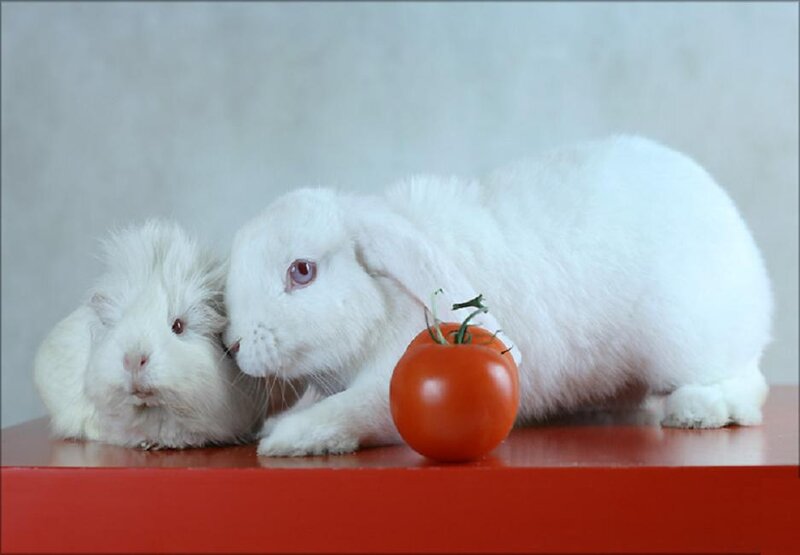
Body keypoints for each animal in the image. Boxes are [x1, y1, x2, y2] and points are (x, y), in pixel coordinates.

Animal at [224, 135, 772, 457]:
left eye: (302, 272)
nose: (232, 346)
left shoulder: (390, 382)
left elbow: (355, 408)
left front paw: (287, 438)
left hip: (691, 342)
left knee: (748, 384)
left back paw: (700, 410)